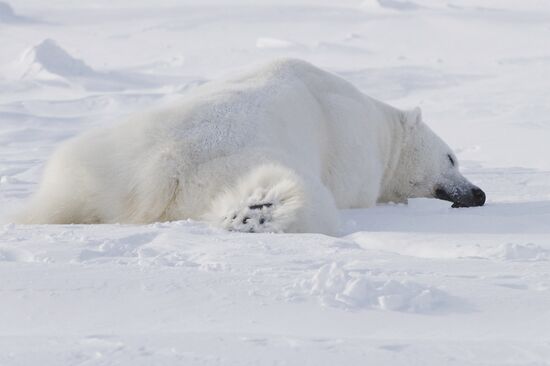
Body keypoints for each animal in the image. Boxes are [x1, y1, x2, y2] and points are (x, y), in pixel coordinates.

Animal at [18, 58, 488, 234]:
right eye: (451, 158)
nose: (478, 193)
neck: (380, 127)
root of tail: (160, 171)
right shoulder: (354, 151)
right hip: (237, 162)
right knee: (300, 193)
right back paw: (257, 211)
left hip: (98, 158)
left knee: (61, 197)